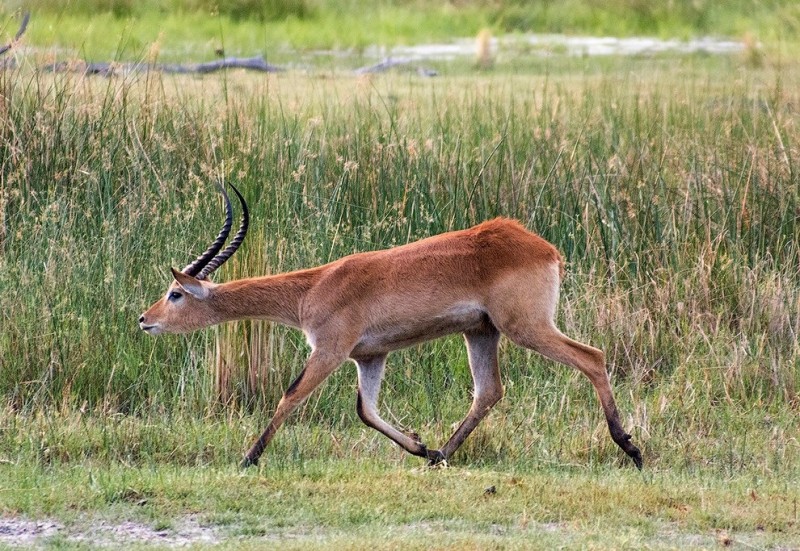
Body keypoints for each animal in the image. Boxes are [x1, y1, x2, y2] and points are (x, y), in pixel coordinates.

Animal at [139, 187, 644, 470]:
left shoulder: (330, 349)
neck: (312, 288)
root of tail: (543, 247)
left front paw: (247, 459)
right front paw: (418, 445)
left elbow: (290, 396)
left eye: (175, 293)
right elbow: (366, 410)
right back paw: (439, 456)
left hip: (525, 326)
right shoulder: (369, 356)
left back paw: (631, 449)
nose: (144, 319)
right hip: (482, 332)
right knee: (489, 391)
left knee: (593, 357)